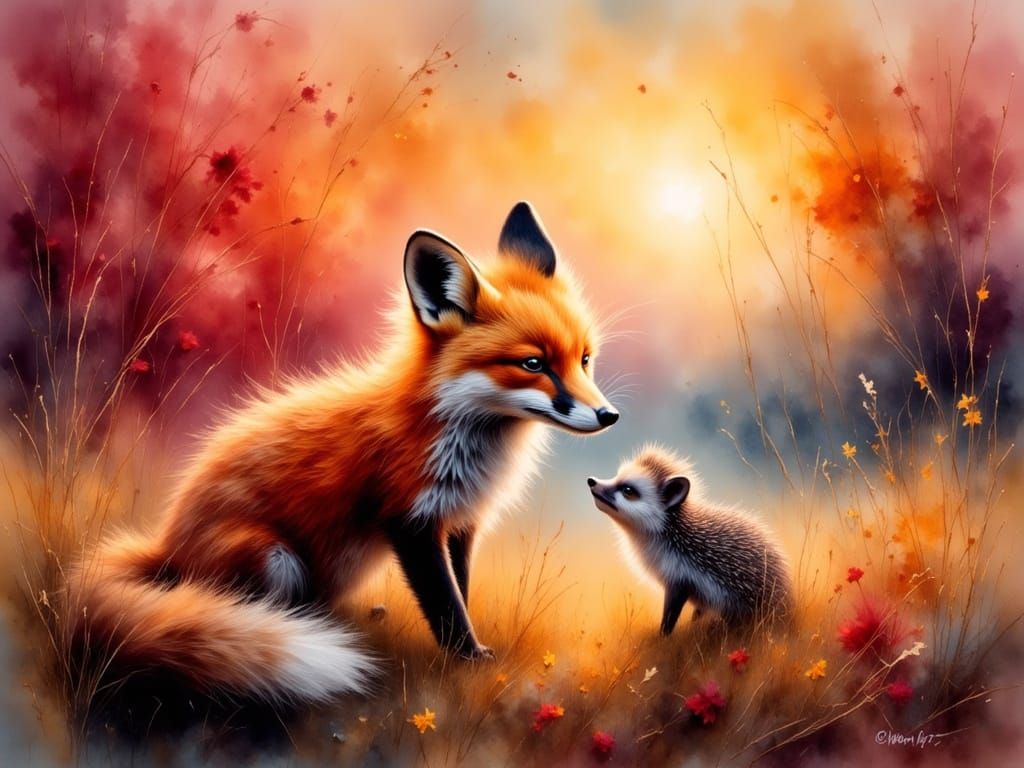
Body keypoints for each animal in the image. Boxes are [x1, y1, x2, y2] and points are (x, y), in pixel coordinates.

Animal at [66, 202, 619, 706]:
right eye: (533, 364)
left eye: (584, 359)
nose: (609, 416)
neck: (460, 435)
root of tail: (166, 545)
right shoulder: (411, 520)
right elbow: (445, 604)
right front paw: (468, 659)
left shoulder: (461, 521)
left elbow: (460, 590)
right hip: (276, 558)